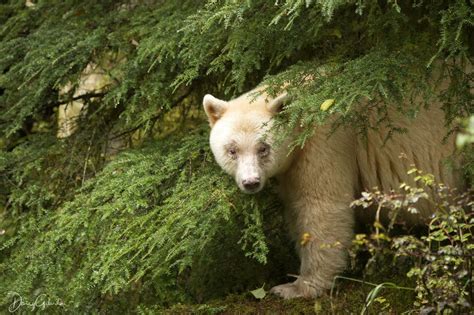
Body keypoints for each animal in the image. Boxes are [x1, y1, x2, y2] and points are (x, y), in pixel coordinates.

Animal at [203, 86, 460, 298]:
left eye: (263, 148)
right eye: (232, 150)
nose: (251, 182)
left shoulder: (324, 141)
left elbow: (321, 206)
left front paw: (296, 287)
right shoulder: (292, 169)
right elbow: (296, 209)